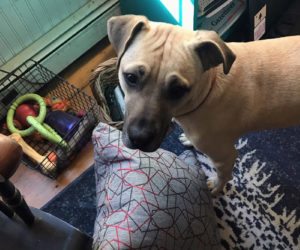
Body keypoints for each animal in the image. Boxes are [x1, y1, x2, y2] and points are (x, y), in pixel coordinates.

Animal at [106, 15, 300, 195]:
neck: (207, 92)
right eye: (131, 77)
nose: (139, 139)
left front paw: (216, 187)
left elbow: (224, 175)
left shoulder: (225, 157)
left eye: (177, 90)